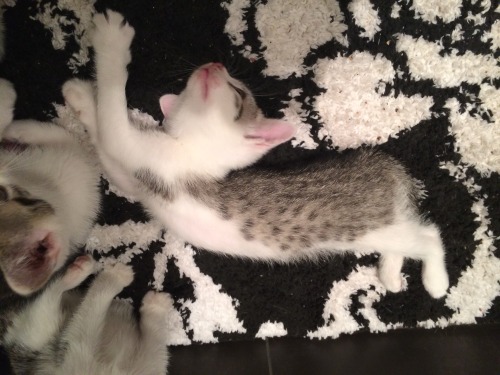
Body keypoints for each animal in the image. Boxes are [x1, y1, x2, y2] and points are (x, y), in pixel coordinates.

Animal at [0, 256, 172, 375]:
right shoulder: (78, 347)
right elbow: (94, 303)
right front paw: (114, 277)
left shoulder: (149, 365)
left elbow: (156, 346)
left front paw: (155, 308)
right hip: (38, 331)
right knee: (48, 297)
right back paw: (76, 273)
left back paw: (77, 270)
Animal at [67, 11, 450, 298]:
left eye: (237, 93)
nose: (215, 64)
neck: (190, 148)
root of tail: (383, 163)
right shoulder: (137, 180)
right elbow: (108, 151)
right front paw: (81, 99)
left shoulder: (144, 154)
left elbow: (113, 113)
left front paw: (111, 44)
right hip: (387, 225)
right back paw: (390, 274)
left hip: (374, 227)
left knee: (430, 236)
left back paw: (435, 281)